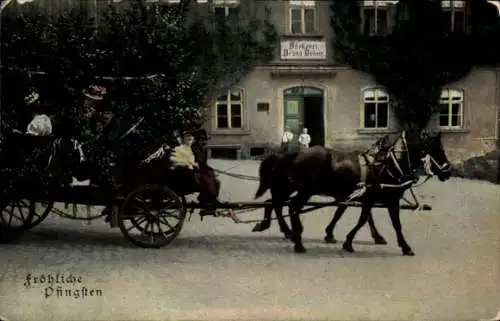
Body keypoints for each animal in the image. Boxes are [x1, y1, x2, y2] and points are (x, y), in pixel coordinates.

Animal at [252, 130, 452, 255]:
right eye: (439, 150)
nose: (448, 172)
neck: (387, 165)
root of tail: (292, 155)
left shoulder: (371, 197)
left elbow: (362, 217)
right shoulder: (386, 199)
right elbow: (374, 221)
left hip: (291, 188)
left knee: (275, 203)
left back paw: (282, 230)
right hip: (304, 190)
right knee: (290, 206)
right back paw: (297, 240)